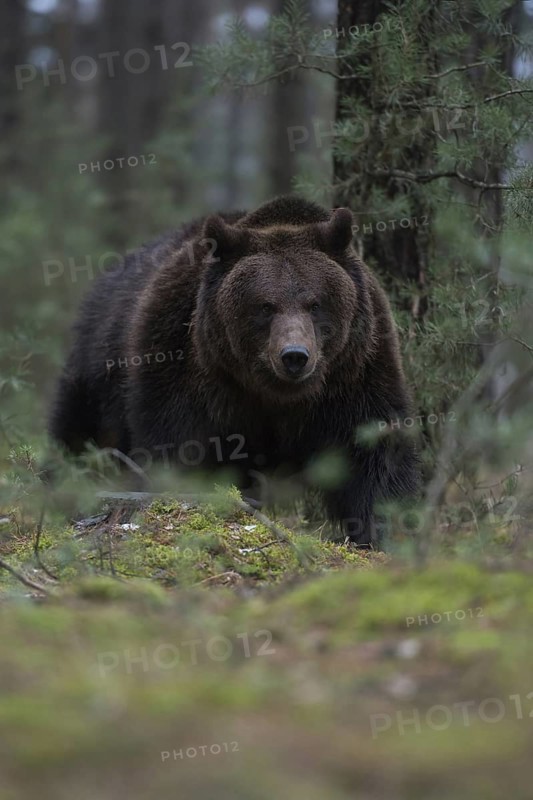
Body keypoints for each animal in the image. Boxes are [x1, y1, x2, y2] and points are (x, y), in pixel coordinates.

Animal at [49, 195, 420, 546]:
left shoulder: (356, 372)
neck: (275, 396)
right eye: (266, 306)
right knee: (77, 436)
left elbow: (374, 453)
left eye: (315, 304)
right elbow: (178, 445)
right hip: (97, 371)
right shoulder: (184, 364)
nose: (294, 356)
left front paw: (386, 529)